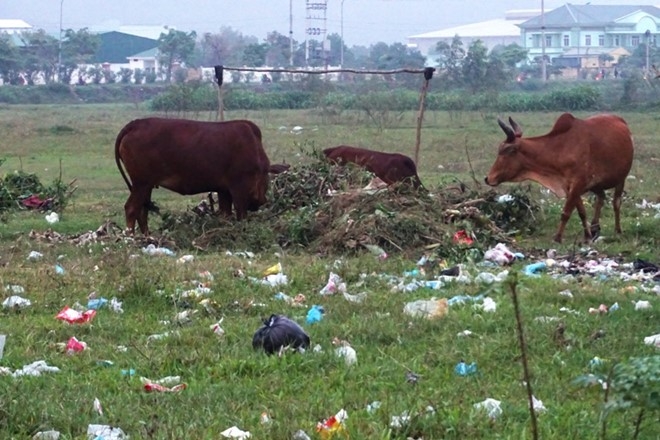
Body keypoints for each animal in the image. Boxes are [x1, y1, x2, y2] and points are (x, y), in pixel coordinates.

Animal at [114, 116, 270, 234]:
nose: (261, 201)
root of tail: (136, 124)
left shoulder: (224, 190)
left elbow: (226, 214)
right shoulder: (238, 188)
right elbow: (241, 214)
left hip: (146, 185)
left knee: (142, 211)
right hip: (141, 183)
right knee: (132, 208)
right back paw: (131, 238)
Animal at [484, 113, 636, 242]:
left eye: (507, 150)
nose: (488, 178)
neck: (560, 150)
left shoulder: (578, 183)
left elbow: (566, 212)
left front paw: (557, 237)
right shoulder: (570, 186)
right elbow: (581, 212)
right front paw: (587, 235)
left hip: (620, 178)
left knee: (616, 203)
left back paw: (617, 230)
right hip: (596, 184)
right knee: (601, 198)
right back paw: (594, 228)